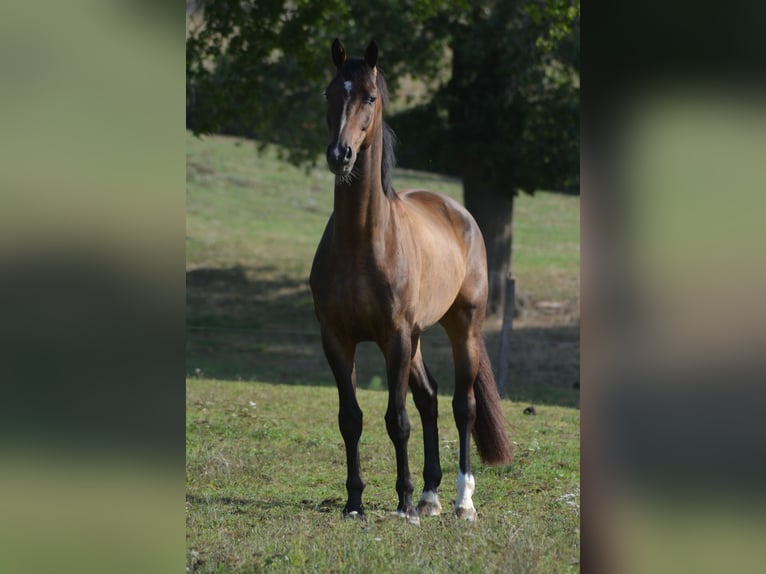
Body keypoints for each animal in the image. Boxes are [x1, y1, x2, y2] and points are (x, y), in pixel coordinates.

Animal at [308, 39, 512, 528]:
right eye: (330, 93)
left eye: (370, 96)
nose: (340, 155)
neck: (362, 242)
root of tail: (458, 212)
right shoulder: (337, 339)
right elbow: (351, 418)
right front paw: (355, 502)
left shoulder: (394, 337)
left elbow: (396, 419)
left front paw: (401, 503)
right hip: (417, 338)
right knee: (430, 397)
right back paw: (430, 494)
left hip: (461, 328)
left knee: (461, 406)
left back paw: (461, 500)